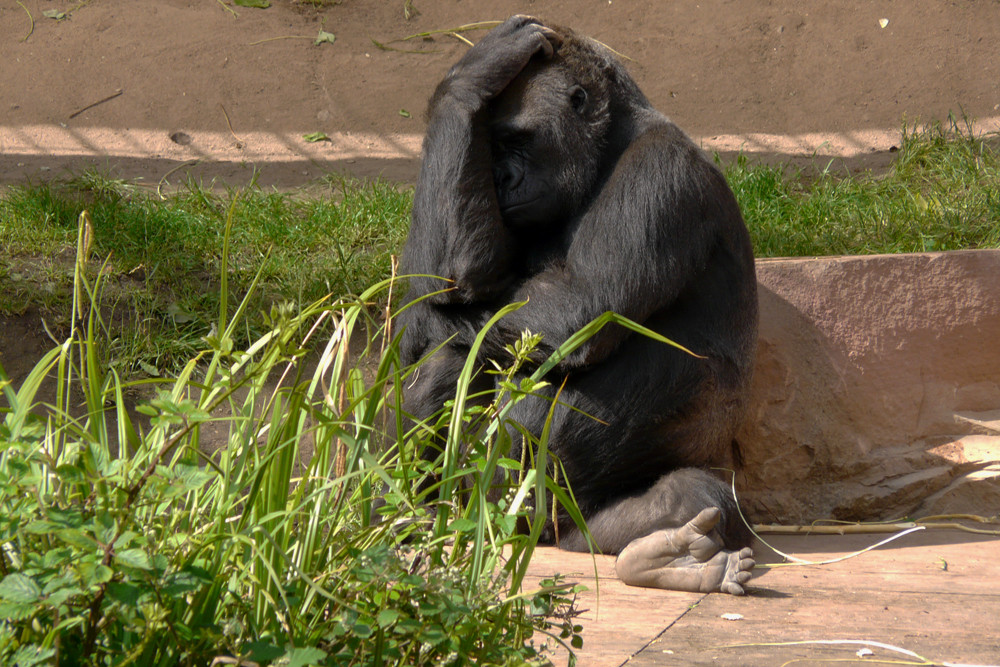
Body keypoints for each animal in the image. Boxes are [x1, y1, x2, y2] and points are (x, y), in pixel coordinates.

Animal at [396, 17, 756, 596]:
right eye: (489, 147)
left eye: (516, 140)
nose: (502, 180)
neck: (607, 148)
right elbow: (448, 279)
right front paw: (467, 83)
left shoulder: (660, 170)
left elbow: (579, 309)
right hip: (528, 512)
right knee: (453, 355)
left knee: (687, 490)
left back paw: (667, 553)